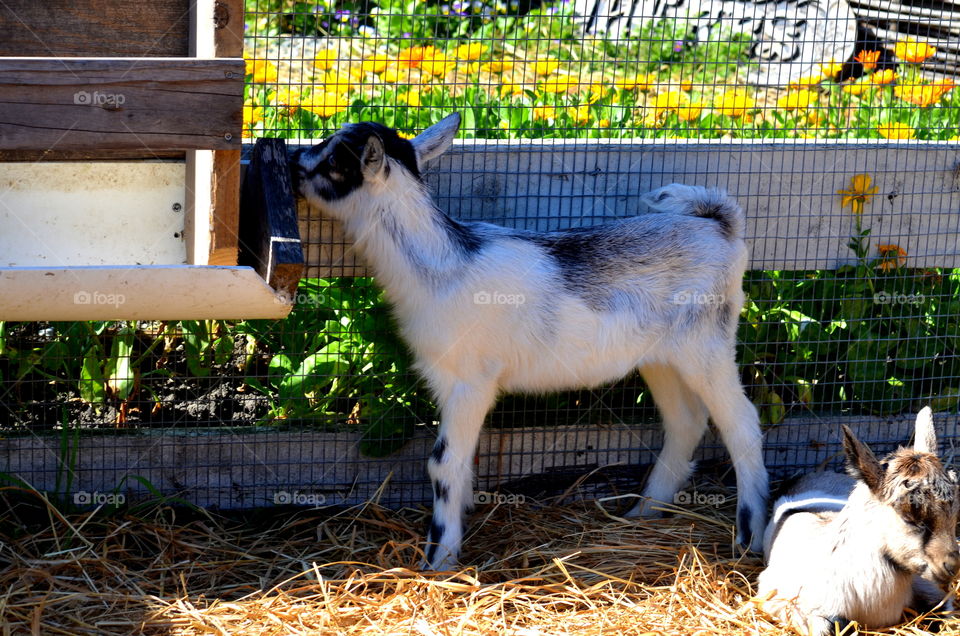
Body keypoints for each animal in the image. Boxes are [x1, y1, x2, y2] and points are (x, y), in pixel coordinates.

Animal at [292, 113, 764, 572]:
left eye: (334, 160)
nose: (294, 159)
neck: (442, 266)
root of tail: (720, 225)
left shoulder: (471, 381)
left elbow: (443, 462)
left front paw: (439, 559)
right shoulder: (448, 382)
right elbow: (463, 462)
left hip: (707, 344)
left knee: (742, 424)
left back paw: (749, 533)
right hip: (660, 358)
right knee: (686, 421)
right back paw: (643, 511)